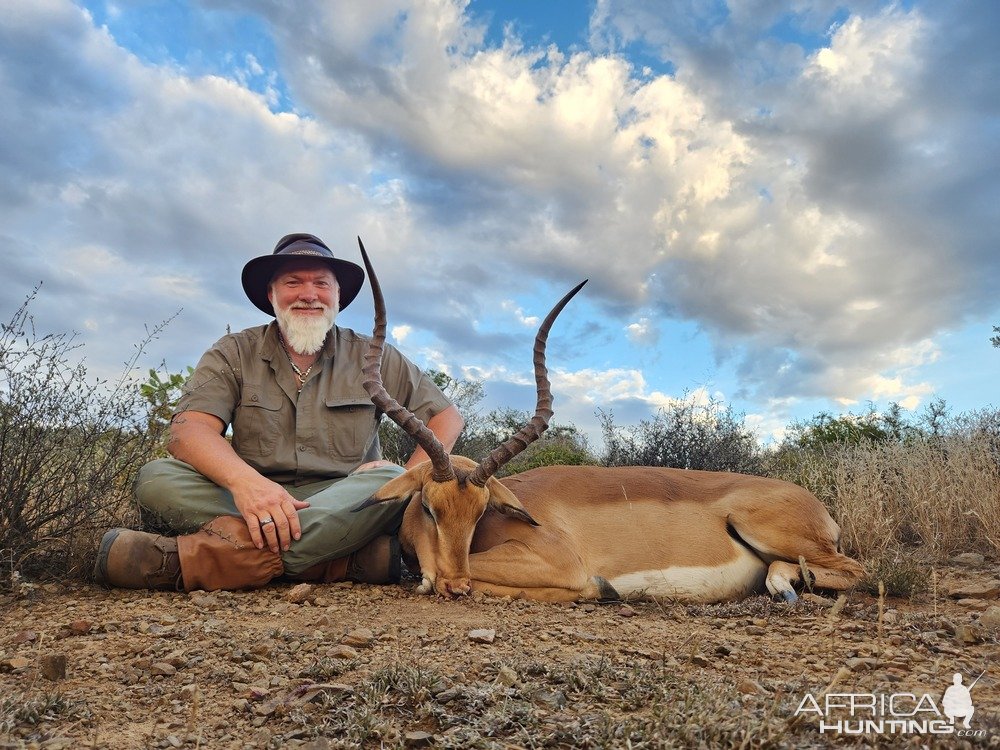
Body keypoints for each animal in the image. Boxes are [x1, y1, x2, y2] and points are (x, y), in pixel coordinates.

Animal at [356, 244, 864, 608]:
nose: (455, 585)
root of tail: (816, 505)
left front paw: (600, 589)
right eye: (428, 507)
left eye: (480, 512)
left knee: (853, 570)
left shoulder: (558, 563)